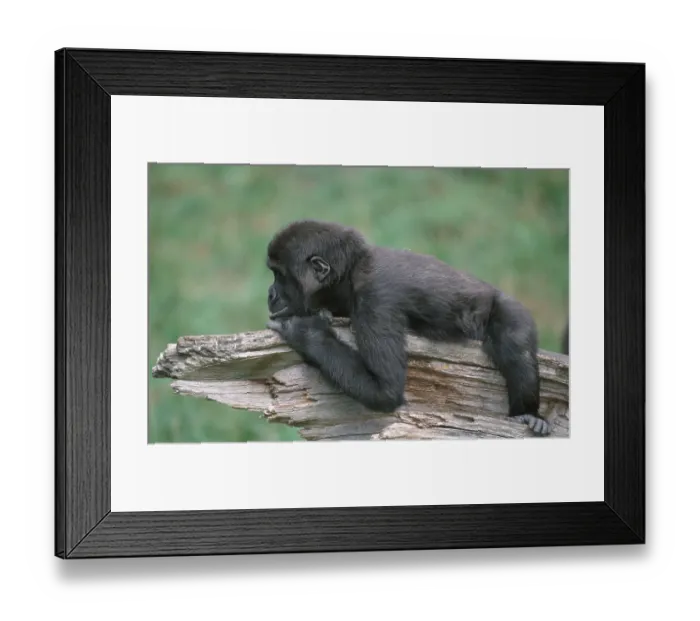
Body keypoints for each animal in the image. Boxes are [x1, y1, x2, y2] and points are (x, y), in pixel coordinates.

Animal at [265, 219, 551, 436]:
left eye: (280, 276)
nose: (270, 294)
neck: (351, 272)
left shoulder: (376, 301)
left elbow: (386, 390)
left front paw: (304, 332)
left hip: (509, 308)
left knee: (515, 347)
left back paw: (529, 414)